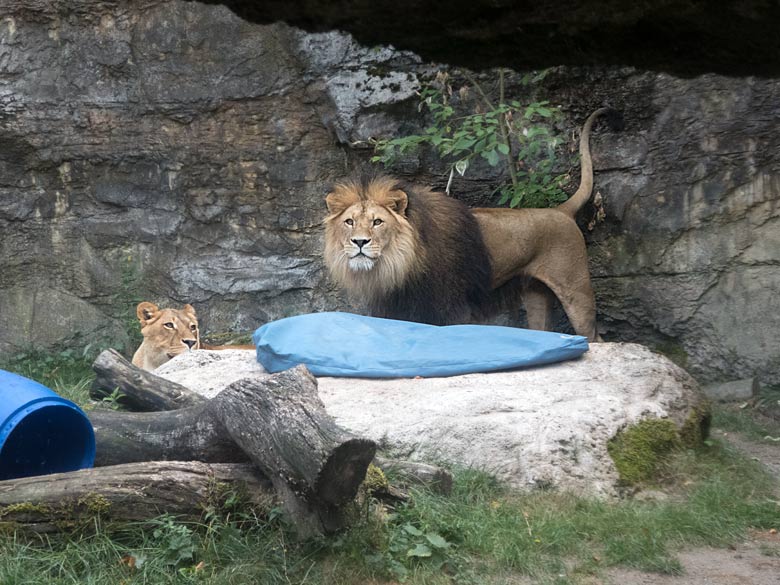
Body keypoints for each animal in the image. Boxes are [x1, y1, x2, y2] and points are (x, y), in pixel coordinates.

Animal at [322, 107, 616, 340]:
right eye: (349, 222)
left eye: (378, 221)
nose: (360, 242)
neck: (397, 264)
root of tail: (560, 211)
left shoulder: (450, 306)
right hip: (536, 294)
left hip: (576, 289)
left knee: (594, 336)